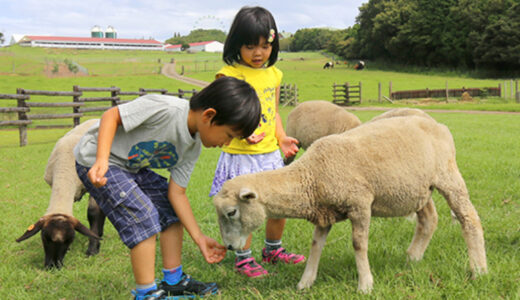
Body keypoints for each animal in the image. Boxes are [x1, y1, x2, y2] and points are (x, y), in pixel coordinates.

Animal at [212, 115, 488, 292]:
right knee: (429, 219)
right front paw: (305, 282)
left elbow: (358, 245)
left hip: (447, 175)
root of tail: (437, 124)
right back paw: (413, 258)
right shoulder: (324, 213)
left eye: (232, 212)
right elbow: (315, 246)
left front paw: (365, 284)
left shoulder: (360, 204)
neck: (311, 175)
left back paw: (479, 269)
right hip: (417, 188)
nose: (229, 246)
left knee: (469, 218)